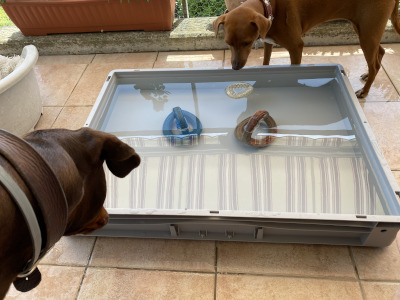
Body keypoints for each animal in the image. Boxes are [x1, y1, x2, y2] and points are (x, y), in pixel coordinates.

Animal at [214, 0, 400, 98]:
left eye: (247, 43)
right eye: (228, 43)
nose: (235, 67)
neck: (270, 6)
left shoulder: (296, 47)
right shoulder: (268, 40)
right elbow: (266, 62)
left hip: (368, 33)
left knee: (375, 64)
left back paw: (365, 90)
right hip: (364, 29)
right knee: (380, 53)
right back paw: (368, 74)